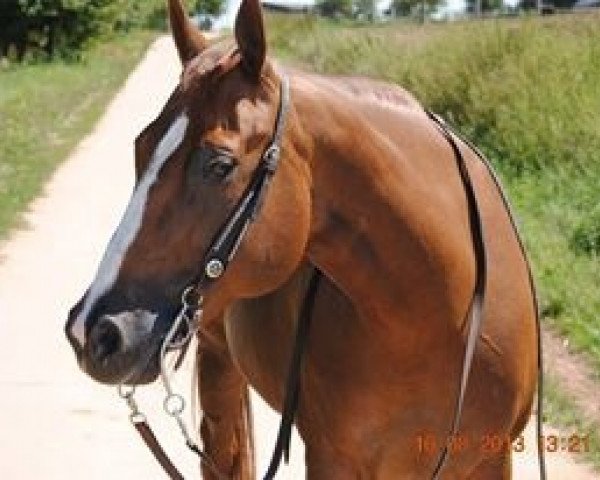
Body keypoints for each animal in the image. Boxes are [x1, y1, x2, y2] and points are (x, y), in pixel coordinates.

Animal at [64, 1, 540, 478]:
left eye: (220, 165)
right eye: (140, 147)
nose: (93, 332)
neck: (435, 319)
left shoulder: (490, 457)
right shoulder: (331, 458)